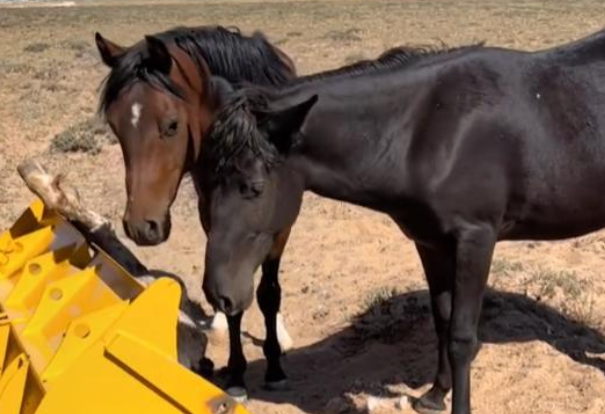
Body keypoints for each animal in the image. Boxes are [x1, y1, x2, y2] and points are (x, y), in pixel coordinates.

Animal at [94, 25, 298, 398]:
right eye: (115, 127)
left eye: (171, 125)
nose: (141, 227)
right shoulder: (213, 218)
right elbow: (229, 294)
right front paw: (236, 374)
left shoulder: (279, 228)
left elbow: (268, 293)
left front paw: (275, 365)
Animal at [197, 28, 605, 414]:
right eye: (203, 183)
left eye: (254, 187)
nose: (219, 294)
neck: (430, 131)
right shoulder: (430, 242)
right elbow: (442, 319)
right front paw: (435, 394)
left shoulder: (475, 239)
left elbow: (461, 336)